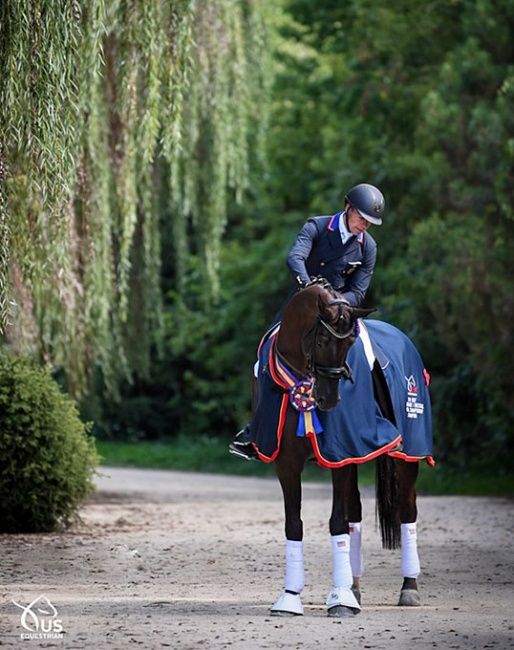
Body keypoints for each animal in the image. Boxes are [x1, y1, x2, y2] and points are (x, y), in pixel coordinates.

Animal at [245, 276, 432, 616]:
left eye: (349, 345)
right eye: (320, 341)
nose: (328, 400)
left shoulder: (340, 453)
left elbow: (337, 522)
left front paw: (341, 600)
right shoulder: (287, 462)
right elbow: (295, 524)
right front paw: (290, 597)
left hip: (407, 454)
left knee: (407, 510)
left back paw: (408, 588)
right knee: (356, 511)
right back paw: (355, 588)